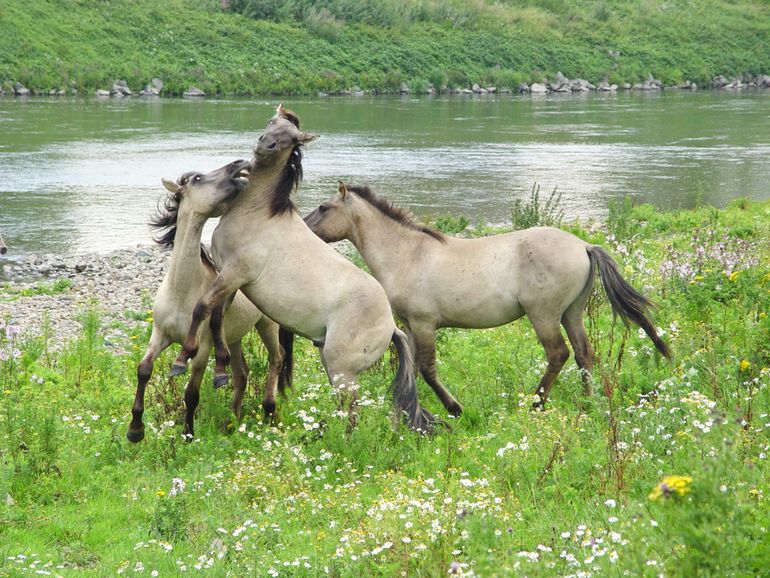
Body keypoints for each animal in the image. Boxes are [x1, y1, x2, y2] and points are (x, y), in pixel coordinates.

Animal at [126, 159, 288, 440]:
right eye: (198, 178)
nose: (239, 164)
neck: (181, 291)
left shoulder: (202, 348)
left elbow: (191, 393)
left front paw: (188, 435)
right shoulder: (160, 334)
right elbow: (144, 369)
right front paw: (135, 430)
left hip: (267, 325)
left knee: (276, 358)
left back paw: (268, 411)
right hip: (234, 338)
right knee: (241, 374)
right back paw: (231, 422)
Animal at [169, 107, 436, 432]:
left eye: (292, 138)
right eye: (271, 122)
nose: (265, 144)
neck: (257, 214)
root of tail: (391, 327)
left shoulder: (235, 273)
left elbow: (201, 307)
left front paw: (181, 360)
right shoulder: (229, 279)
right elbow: (216, 316)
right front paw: (220, 370)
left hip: (342, 369)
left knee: (351, 412)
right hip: (331, 363)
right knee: (344, 408)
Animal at [304, 180, 668, 410]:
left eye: (323, 207)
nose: (304, 228)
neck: (408, 254)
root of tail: (583, 246)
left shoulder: (424, 323)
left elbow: (428, 368)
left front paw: (455, 408)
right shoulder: (408, 324)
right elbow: (413, 368)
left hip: (544, 314)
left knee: (558, 354)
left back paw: (536, 402)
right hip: (572, 312)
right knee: (583, 353)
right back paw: (588, 401)